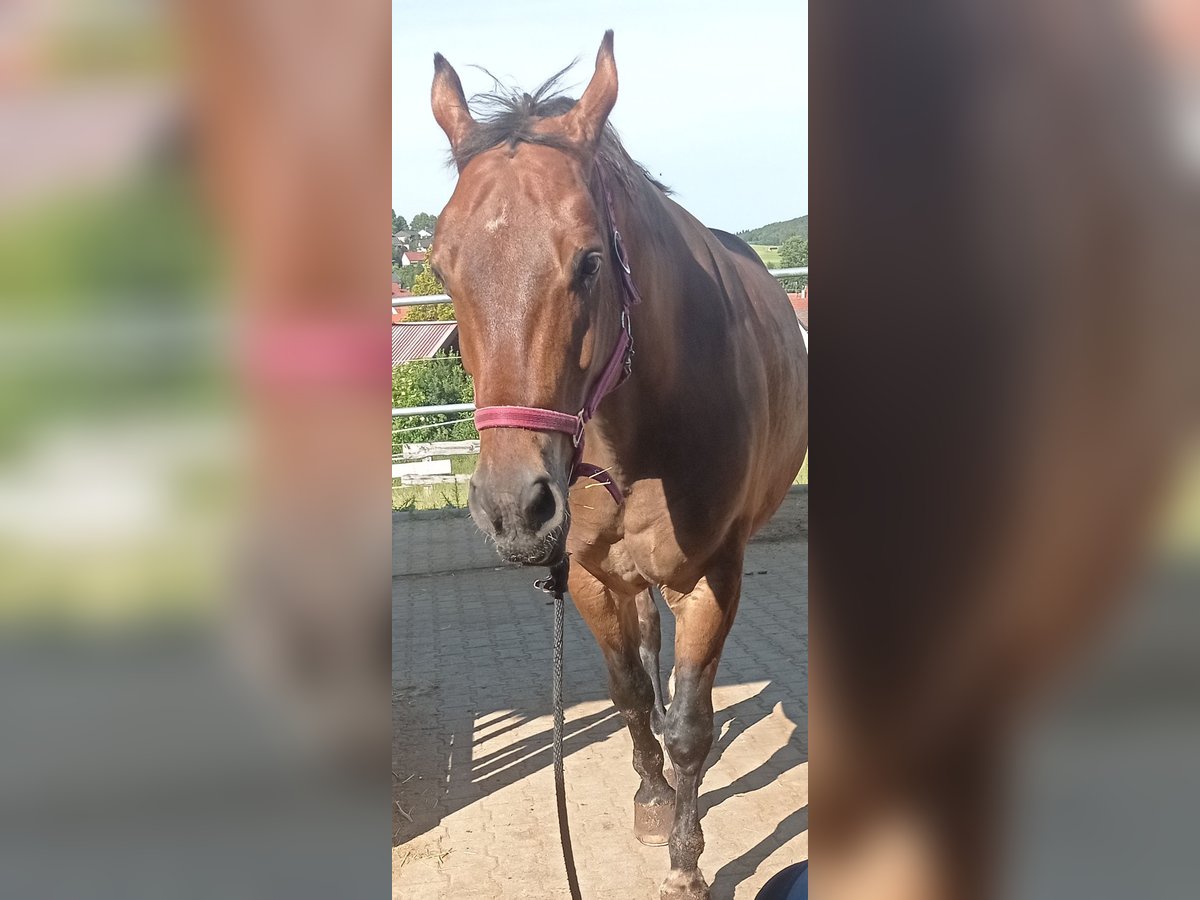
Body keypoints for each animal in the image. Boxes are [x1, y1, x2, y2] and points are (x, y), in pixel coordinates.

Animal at [427, 30, 811, 900]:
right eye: (440, 269)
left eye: (591, 261)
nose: (514, 509)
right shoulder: (592, 578)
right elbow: (631, 694)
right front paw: (651, 803)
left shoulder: (713, 579)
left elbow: (692, 725)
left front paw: (687, 861)